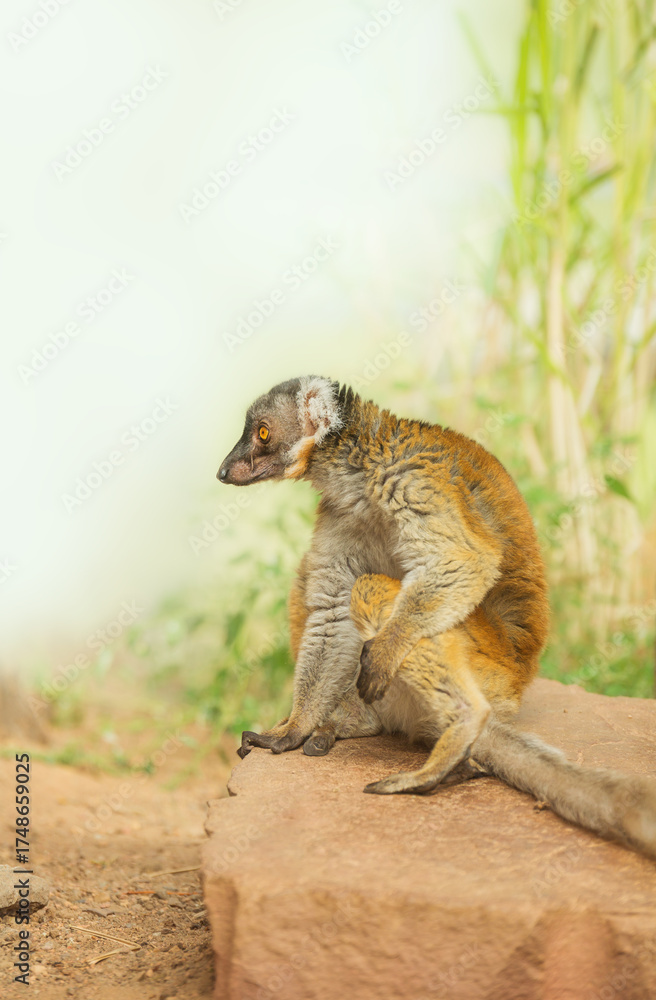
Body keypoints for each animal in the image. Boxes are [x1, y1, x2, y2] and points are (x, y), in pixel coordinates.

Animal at [217, 375, 656, 858]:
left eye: (261, 433)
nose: (223, 471)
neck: (359, 468)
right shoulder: (340, 512)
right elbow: (332, 611)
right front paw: (295, 728)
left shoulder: (413, 481)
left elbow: (465, 561)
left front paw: (387, 648)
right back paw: (356, 721)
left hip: (486, 667)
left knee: (374, 592)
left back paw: (460, 731)